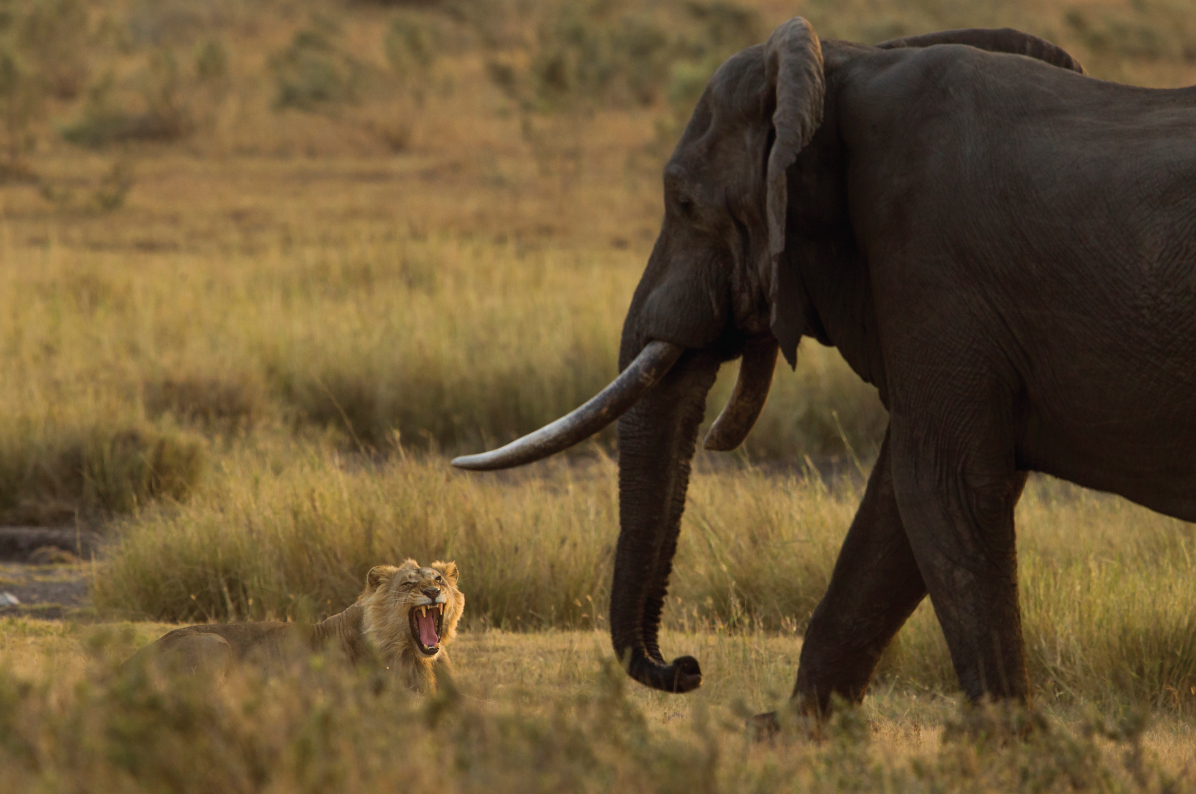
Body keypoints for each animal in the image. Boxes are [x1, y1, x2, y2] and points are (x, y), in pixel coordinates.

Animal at [454, 17, 1196, 716]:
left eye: (684, 204)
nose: (687, 668)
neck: (845, 64)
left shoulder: (934, 269)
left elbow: (941, 483)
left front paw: (1012, 745)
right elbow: (898, 505)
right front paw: (788, 732)